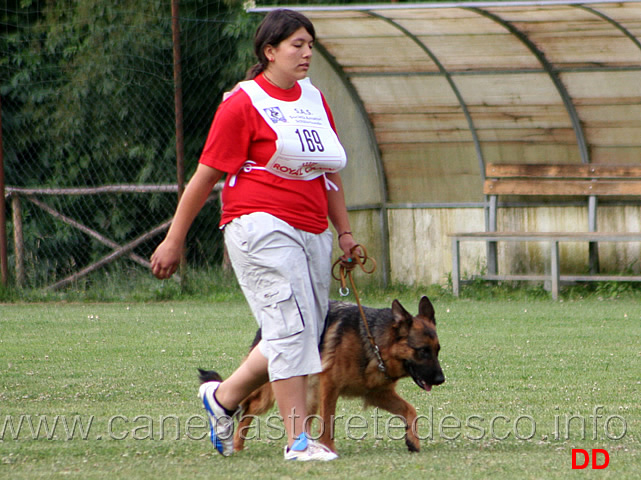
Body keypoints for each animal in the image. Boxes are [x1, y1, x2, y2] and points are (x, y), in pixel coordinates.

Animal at [198, 296, 442, 454]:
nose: (441, 379)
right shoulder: (329, 387)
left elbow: (410, 410)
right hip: (268, 395)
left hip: (308, 395)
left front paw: (413, 440)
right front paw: (330, 449)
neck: (375, 343)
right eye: (422, 351)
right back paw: (235, 441)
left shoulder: (377, 394)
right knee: (246, 410)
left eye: (437, 350)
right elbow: (328, 422)